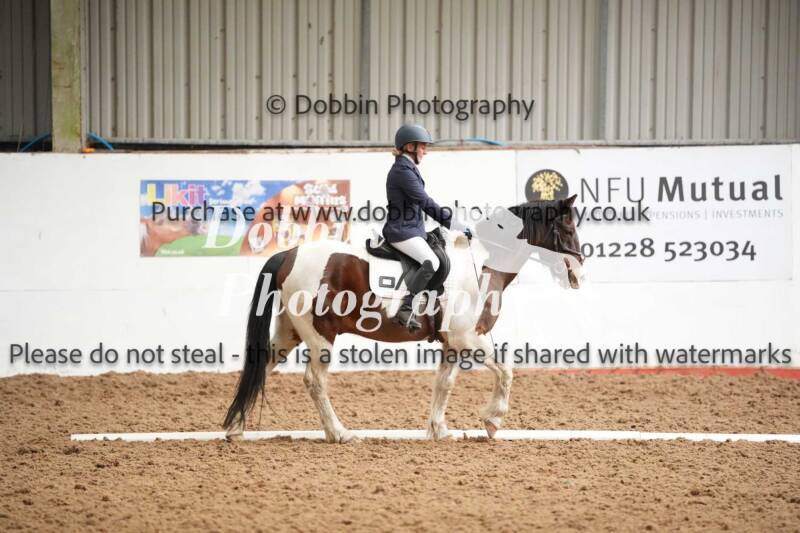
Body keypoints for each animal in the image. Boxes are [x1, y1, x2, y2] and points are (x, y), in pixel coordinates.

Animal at [223, 195, 583, 443]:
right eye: (566, 227)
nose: (578, 273)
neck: (479, 267)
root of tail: (289, 253)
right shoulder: (470, 338)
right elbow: (506, 371)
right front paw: (492, 421)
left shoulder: (453, 344)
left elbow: (444, 384)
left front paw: (439, 430)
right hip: (320, 337)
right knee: (314, 382)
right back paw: (339, 433)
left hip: (290, 333)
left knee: (263, 365)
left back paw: (235, 428)